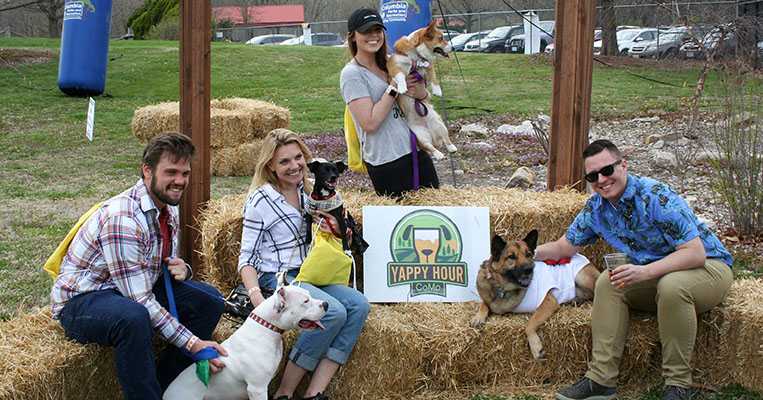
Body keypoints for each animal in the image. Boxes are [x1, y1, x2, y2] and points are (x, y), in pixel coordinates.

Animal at [384, 20, 456, 161]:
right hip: (419, 136)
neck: (417, 55)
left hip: (439, 123)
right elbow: (400, 76)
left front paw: (438, 91)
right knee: (429, 147)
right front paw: (402, 87)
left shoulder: (428, 67)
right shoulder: (394, 65)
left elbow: (433, 78)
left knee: (446, 138)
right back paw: (439, 155)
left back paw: (452, 148)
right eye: (441, 38)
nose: (453, 48)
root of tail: (430, 132)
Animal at [472, 228, 604, 360]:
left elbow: (530, 323)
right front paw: (478, 317)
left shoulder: (548, 303)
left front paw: (535, 346)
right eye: (511, 257)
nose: (528, 269)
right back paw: (578, 299)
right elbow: (484, 304)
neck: (503, 287)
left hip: (582, 277)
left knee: (594, 292)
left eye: (528, 255)